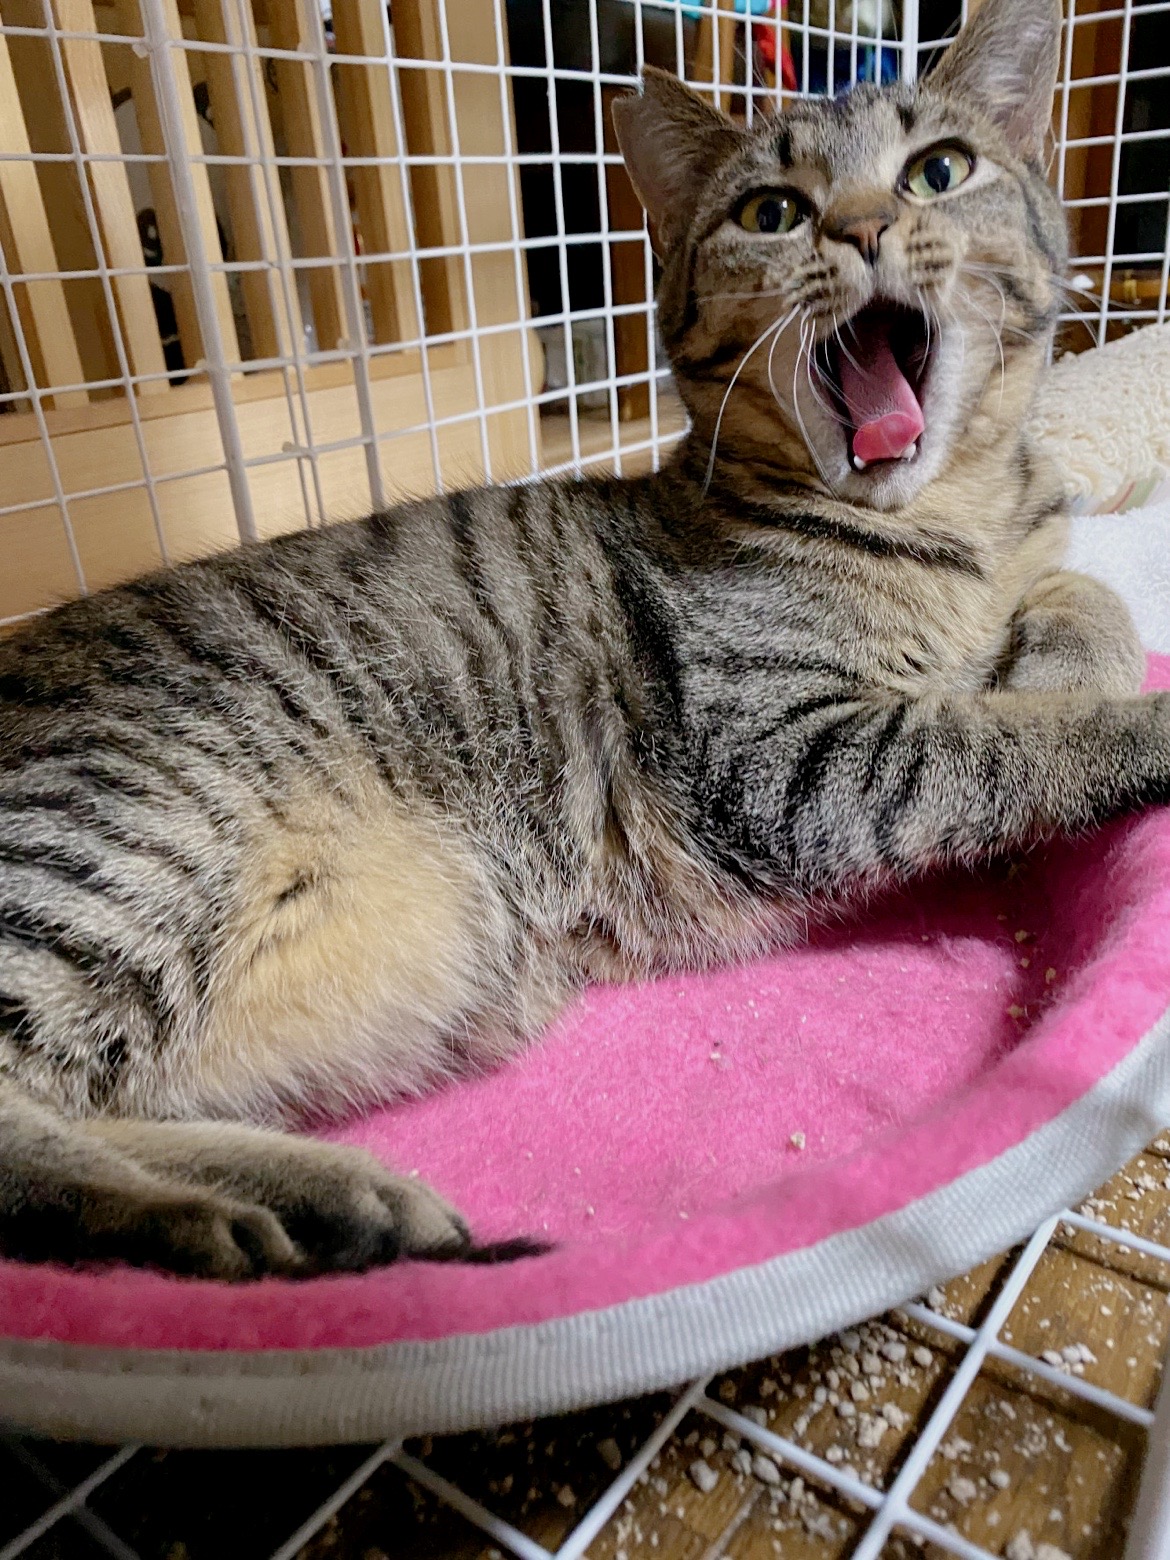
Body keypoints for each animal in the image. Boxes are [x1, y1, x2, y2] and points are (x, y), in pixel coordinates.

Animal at [0, 0, 1162, 1280]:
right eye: (772, 212)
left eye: (939, 171)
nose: (861, 227)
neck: (954, 519)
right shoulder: (786, 756)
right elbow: (1003, 740)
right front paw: (1117, 713)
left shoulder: (1020, 566)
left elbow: (1082, 598)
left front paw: (1070, 654)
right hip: (125, 844)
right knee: (19, 1134)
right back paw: (262, 1206)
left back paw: (323, 1202)